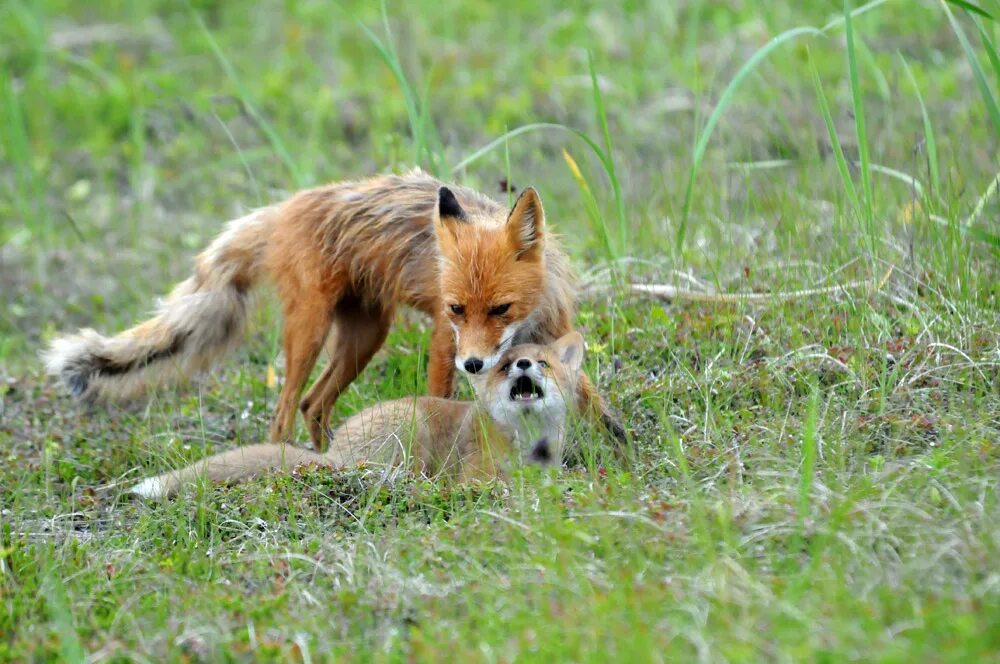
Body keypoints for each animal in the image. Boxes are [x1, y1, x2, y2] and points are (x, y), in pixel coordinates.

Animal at [47, 169, 624, 448]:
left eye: (501, 308)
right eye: (457, 308)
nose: (475, 364)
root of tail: (285, 207)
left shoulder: (553, 337)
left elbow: (594, 401)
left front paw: (622, 449)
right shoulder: (444, 340)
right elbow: (440, 399)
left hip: (363, 338)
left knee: (312, 405)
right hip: (310, 333)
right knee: (284, 411)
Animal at [132, 332, 584, 498]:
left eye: (542, 363)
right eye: (507, 365)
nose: (523, 364)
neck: (527, 446)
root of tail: (333, 452)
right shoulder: (476, 473)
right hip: (409, 432)